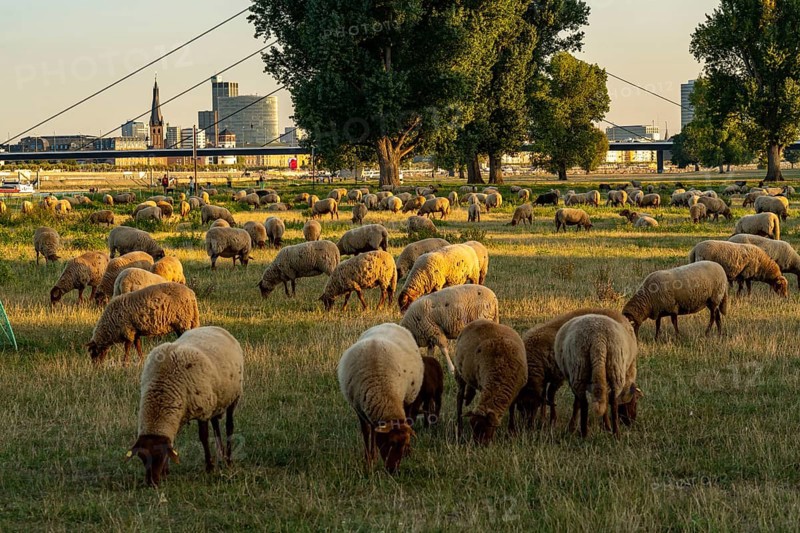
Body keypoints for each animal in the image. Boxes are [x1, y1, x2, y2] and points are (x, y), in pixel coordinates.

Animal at [126, 326, 242, 486]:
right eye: (142, 458)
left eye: (159, 456)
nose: (152, 483)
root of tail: (215, 327)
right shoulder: (180, 413)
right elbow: (172, 442)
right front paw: (166, 472)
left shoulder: (203, 410)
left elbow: (204, 437)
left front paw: (209, 467)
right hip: (215, 399)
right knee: (216, 425)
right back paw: (221, 455)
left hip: (233, 397)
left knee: (229, 426)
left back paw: (228, 460)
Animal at [337, 323, 423, 473]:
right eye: (390, 442)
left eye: (403, 444)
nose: (393, 471)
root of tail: (389, 323)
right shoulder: (359, 407)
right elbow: (366, 432)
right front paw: (369, 460)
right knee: (373, 428)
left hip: (409, 396)